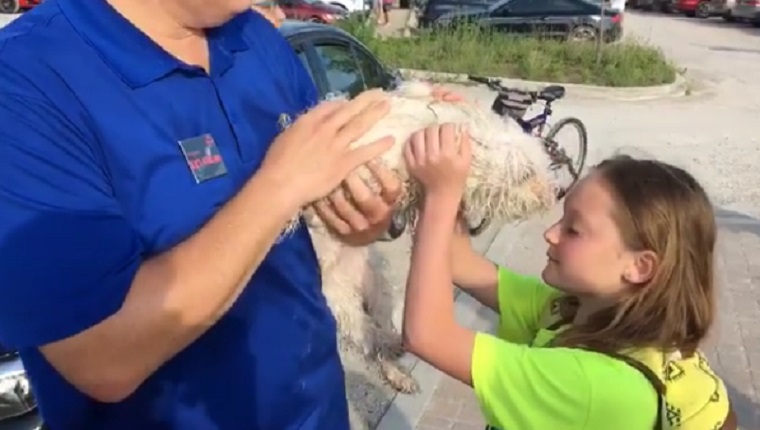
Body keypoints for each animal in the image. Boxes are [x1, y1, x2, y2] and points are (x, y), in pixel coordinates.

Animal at [302, 82, 560, 394]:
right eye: (525, 174)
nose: (555, 192)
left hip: (378, 289)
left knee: (376, 341)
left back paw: (398, 368)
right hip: (339, 303)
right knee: (367, 337)